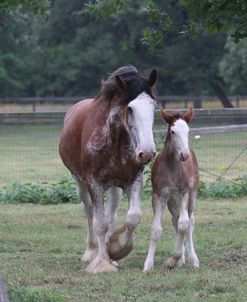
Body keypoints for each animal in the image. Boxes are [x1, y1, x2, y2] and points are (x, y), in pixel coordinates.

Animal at [58, 66, 157, 274]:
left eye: (153, 105)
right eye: (130, 108)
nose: (146, 152)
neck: (115, 140)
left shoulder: (133, 180)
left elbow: (133, 217)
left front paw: (116, 249)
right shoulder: (94, 183)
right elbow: (100, 224)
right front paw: (101, 263)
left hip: (114, 187)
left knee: (111, 214)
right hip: (81, 183)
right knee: (90, 212)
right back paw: (91, 252)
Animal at [144, 108, 200, 272]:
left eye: (189, 131)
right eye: (173, 131)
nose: (184, 155)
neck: (171, 168)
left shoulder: (184, 192)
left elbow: (184, 224)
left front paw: (172, 260)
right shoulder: (159, 196)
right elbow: (156, 229)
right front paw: (148, 264)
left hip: (192, 194)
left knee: (189, 221)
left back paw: (192, 259)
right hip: (172, 200)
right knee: (176, 219)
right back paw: (182, 260)